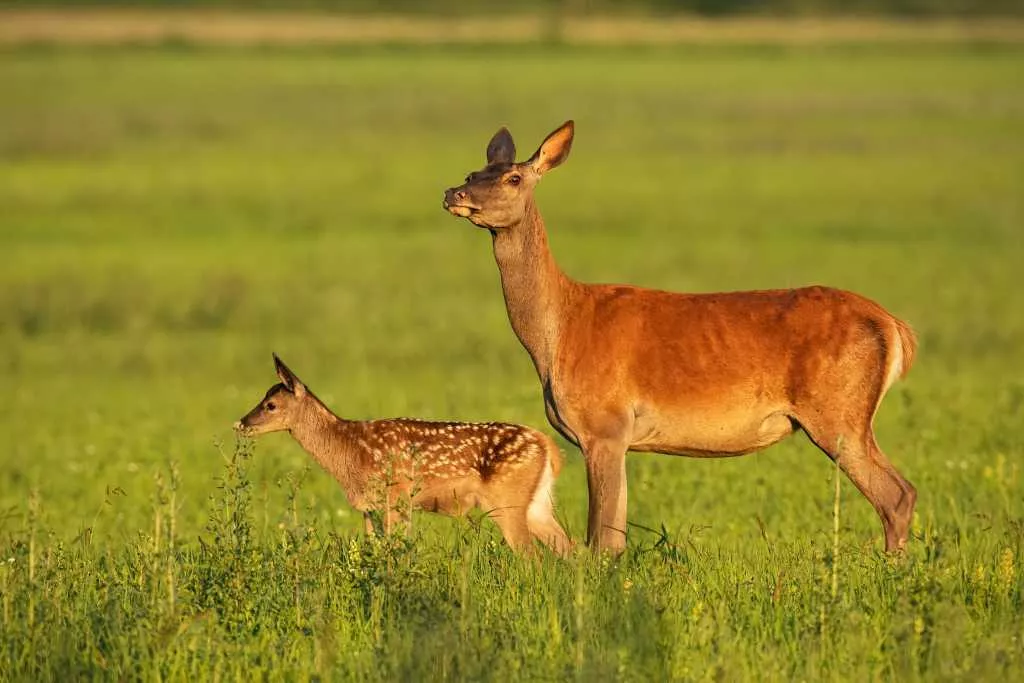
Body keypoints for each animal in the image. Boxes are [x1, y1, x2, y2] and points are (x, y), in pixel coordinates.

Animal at [442, 118, 921, 557]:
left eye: (513, 178)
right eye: (471, 173)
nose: (453, 194)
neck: (559, 332)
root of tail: (895, 326)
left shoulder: (606, 425)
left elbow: (602, 538)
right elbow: (614, 534)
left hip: (839, 411)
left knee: (896, 494)